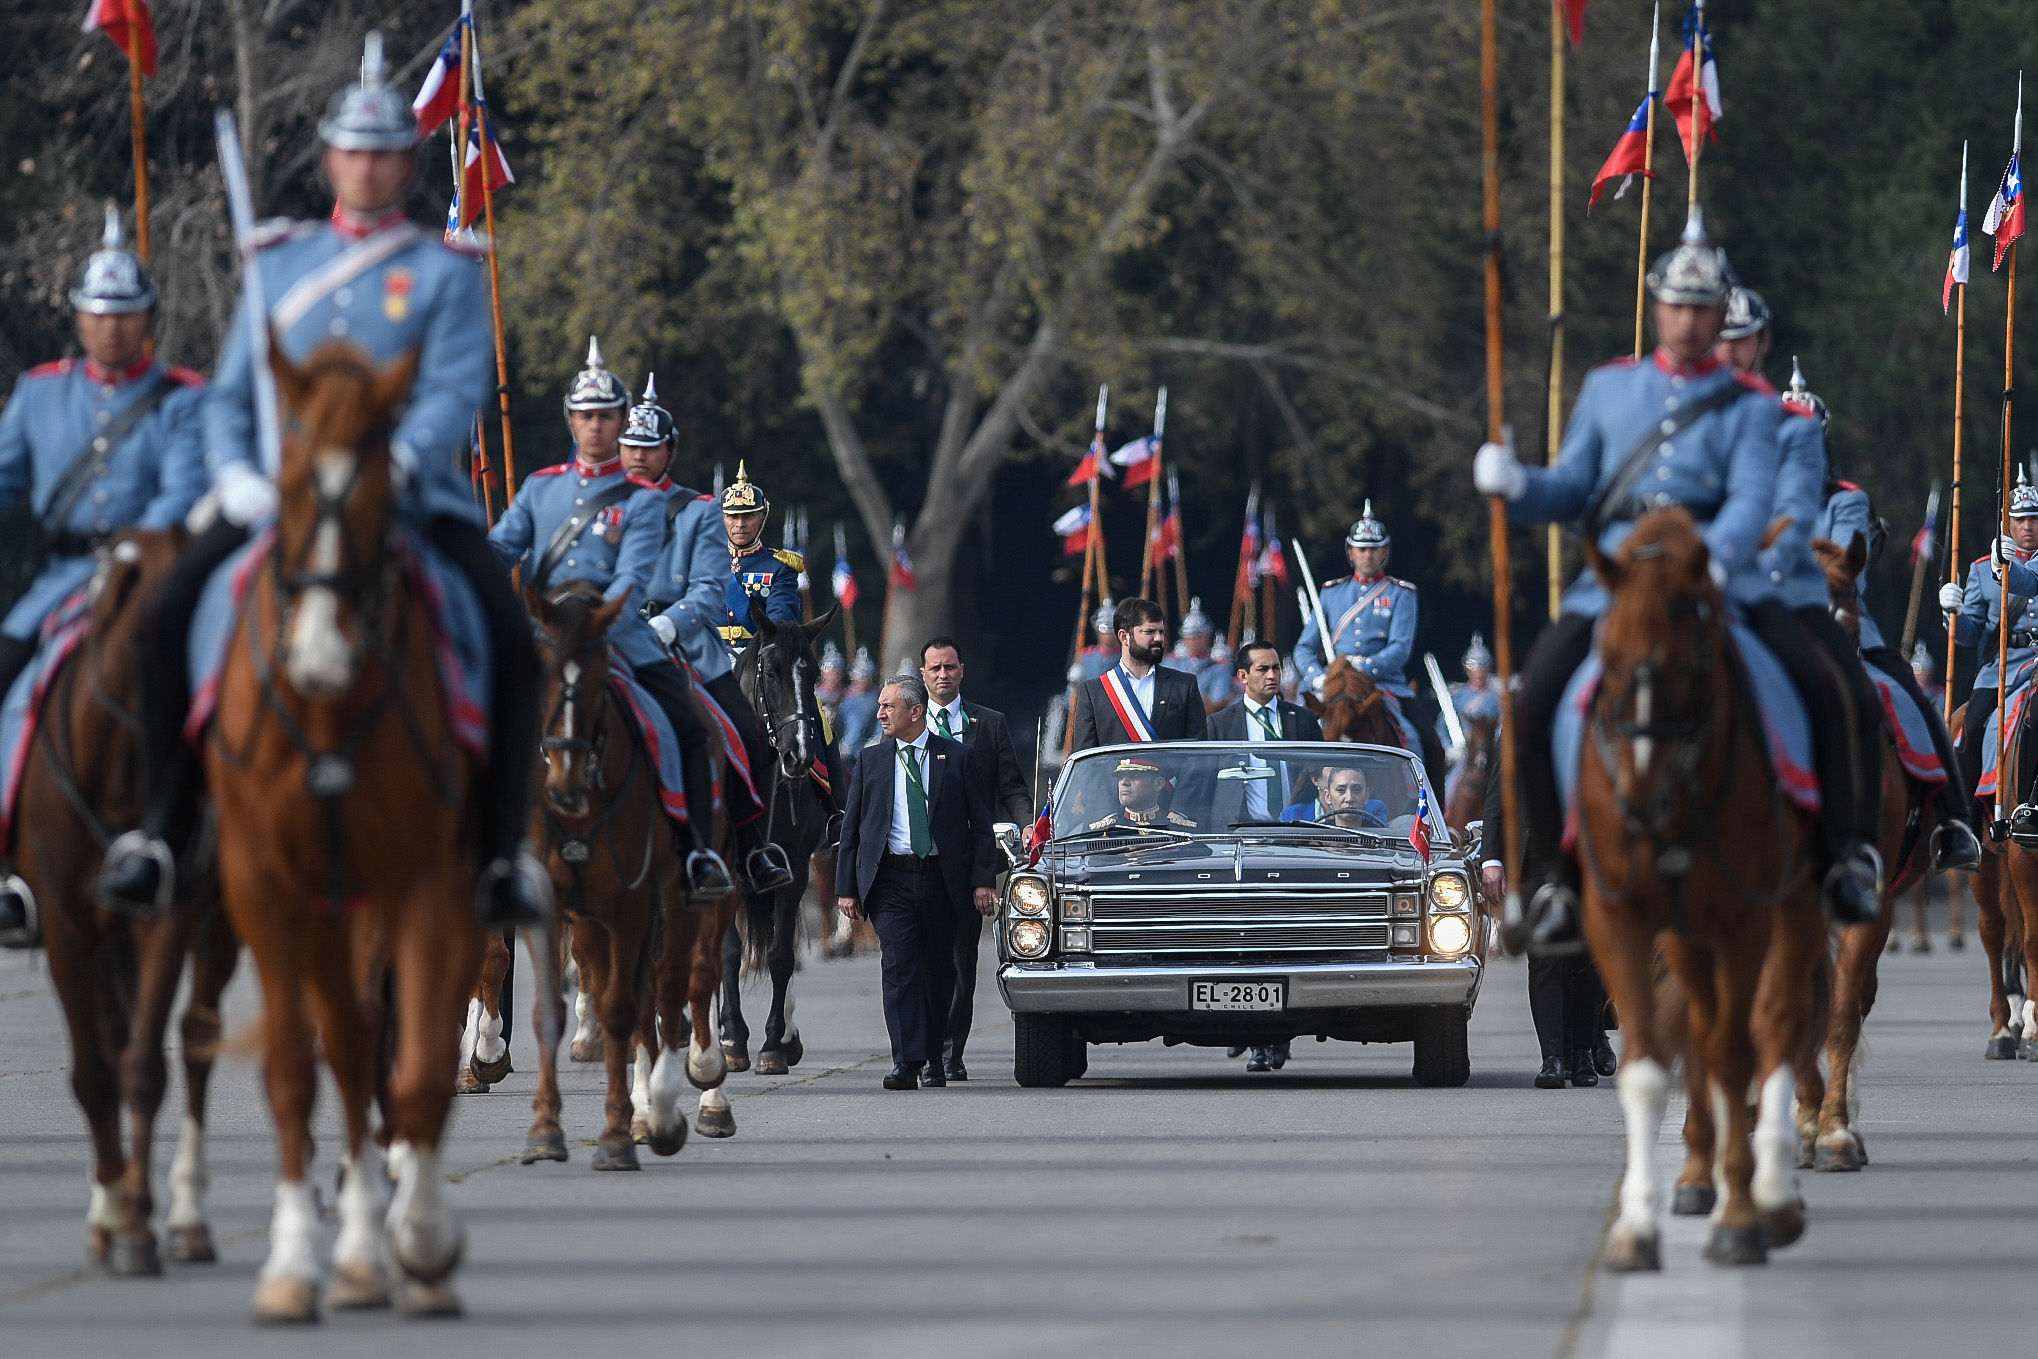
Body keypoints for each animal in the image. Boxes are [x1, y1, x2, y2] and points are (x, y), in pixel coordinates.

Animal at [17, 529, 240, 1279]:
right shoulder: (65, 925)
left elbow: (144, 1067)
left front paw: (140, 1223)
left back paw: (189, 1218)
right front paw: (113, 1214)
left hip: (215, 925)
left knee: (197, 1041)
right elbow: (96, 1070)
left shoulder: (166, 919)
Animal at [206, 342, 480, 1328]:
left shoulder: (431, 890)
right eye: (285, 486)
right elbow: (308, 1058)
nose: (319, 655)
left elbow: (420, 1053)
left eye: (377, 501)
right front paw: (298, 1262)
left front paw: (421, 1240)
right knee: (353, 1036)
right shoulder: (272, 890)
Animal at [521, 586, 745, 1173]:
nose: (563, 781)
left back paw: (698, 1092)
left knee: (686, 979)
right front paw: (551, 1131)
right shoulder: (568, 906)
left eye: (600, 679)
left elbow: (667, 991)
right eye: (538, 668)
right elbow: (566, 1007)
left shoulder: (640, 902)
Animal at [1573, 513, 1834, 1279]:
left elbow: (1737, 1047)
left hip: (1794, 913)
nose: (1638, 799)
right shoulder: (1629, 922)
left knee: (1776, 1026)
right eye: (1607, 654)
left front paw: (1742, 1214)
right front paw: (1639, 1225)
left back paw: (1778, 1182)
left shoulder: (1745, 920)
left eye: (1689, 666)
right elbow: (1652, 1058)